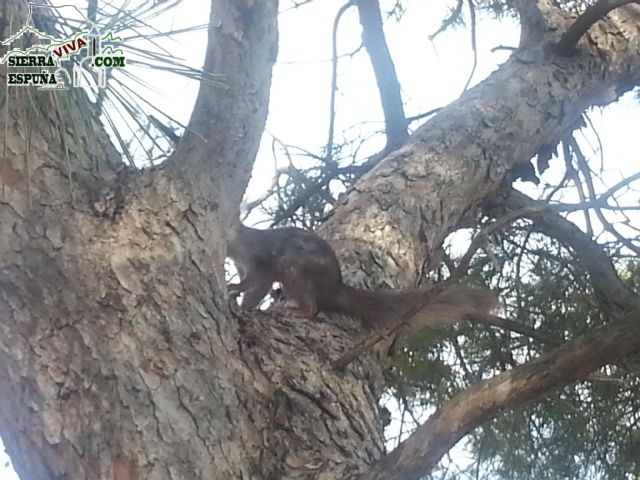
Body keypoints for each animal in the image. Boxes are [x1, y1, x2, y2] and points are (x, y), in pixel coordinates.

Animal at [228, 222, 498, 328]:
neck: (239, 245)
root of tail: (334, 288)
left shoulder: (261, 261)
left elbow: (256, 284)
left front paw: (237, 293)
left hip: (294, 268)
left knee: (312, 308)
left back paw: (290, 310)